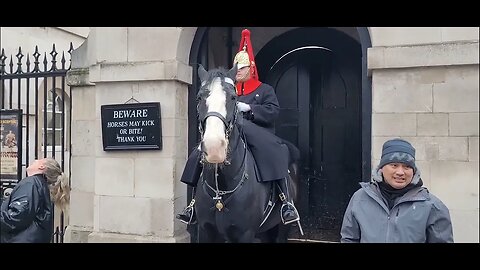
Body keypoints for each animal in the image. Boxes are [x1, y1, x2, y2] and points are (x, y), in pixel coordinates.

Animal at [192, 63, 300, 243]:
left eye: (233, 98)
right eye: (199, 98)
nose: (214, 147)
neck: (220, 192)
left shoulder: (245, 233)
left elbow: (271, 108)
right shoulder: (206, 230)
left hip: (282, 227)